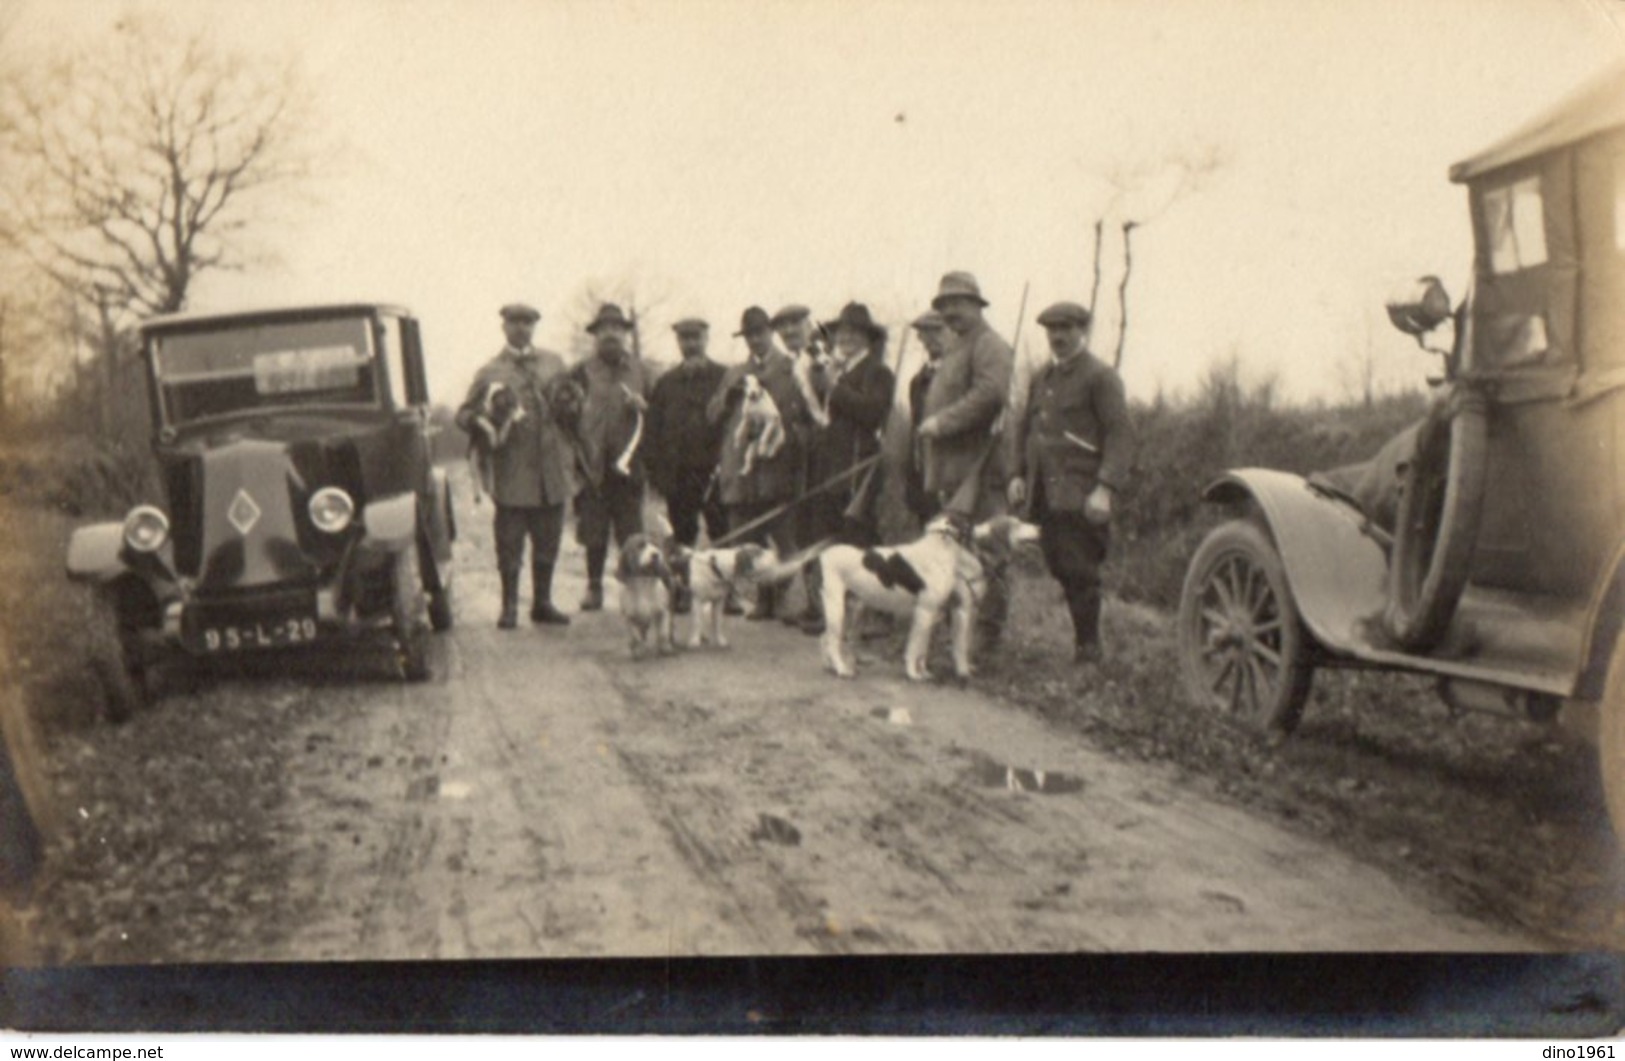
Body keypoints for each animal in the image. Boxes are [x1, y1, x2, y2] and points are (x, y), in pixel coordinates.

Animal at [819, 516, 1046, 682]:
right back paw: (842, 669)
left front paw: (926, 671)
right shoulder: (949, 611)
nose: (1040, 528)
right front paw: (958, 672)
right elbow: (938, 647)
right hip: (837, 608)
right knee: (832, 640)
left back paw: (834, 665)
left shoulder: (948, 612)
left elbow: (927, 648)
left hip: (849, 609)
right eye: (1017, 524)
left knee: (828, 638)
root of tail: (823, 554)